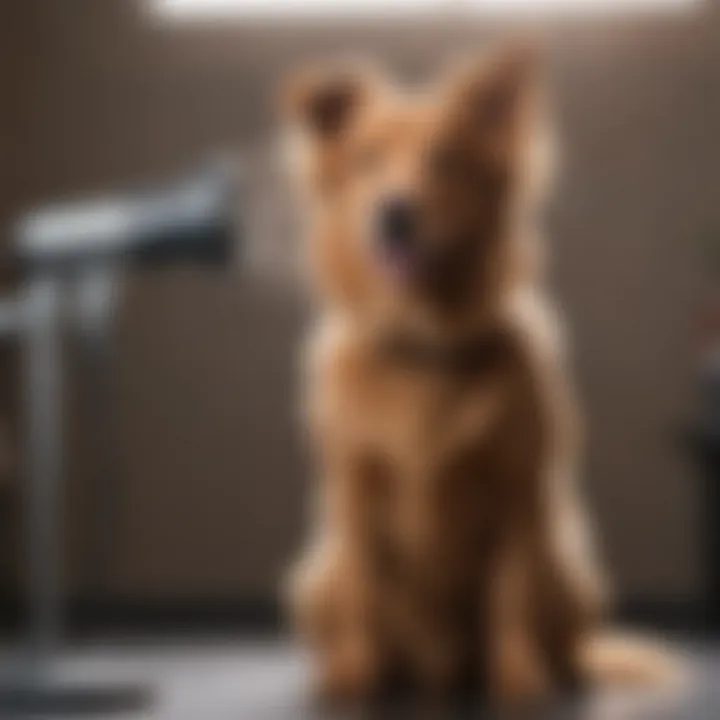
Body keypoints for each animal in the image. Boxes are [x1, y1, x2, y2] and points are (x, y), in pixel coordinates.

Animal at [282, 43, 676, 704]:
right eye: (367, 161)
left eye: (446, 161)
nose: (395, 213)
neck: (422, 343)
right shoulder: (353, 489)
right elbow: (364, 589)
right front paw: (356, 675)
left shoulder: (515, 487)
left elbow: (508, 595)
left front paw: (518, 678)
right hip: (316, 574)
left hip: (566, 560)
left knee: (565, 635)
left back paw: (564, 668)